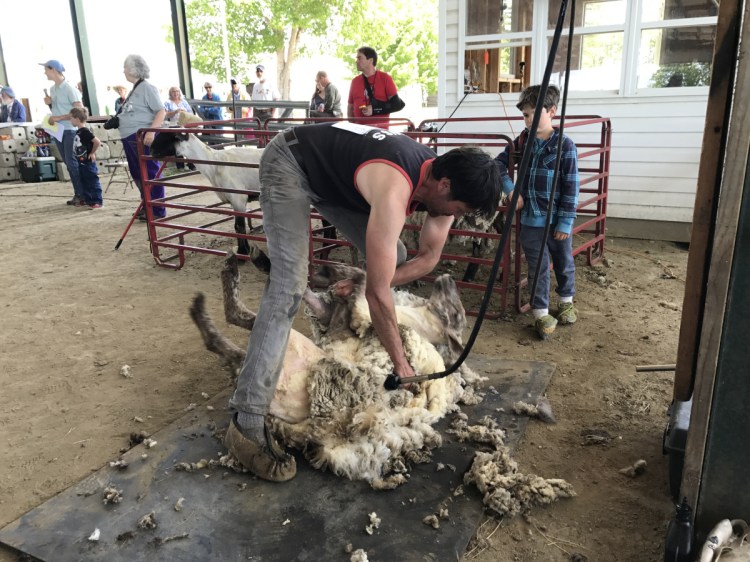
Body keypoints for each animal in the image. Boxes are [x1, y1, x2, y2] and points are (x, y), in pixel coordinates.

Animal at [150, 112, 270, 270]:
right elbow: (238, 227)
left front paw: (242, 255)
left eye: (167, 137)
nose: (151, 150)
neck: (214, 164)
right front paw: (243, 251)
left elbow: (239, 227)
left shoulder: (238, 198)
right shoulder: (233, 201)